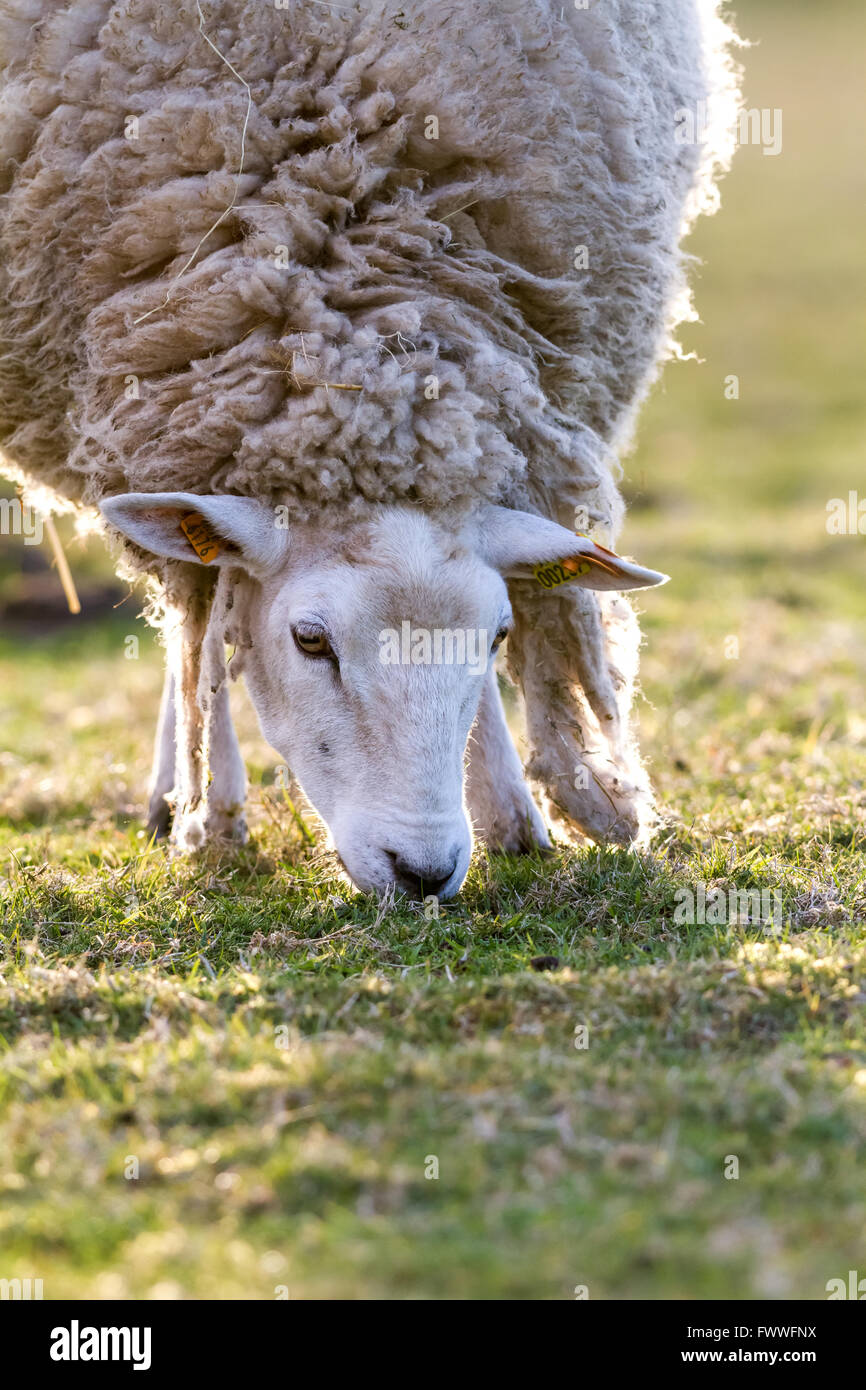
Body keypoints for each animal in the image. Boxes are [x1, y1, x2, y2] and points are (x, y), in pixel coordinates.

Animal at [0, 0, 739, 897]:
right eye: (310, 640)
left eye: (498, 637)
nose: (421, 870)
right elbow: (203, 627)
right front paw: (216, 822)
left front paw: (516, 817)